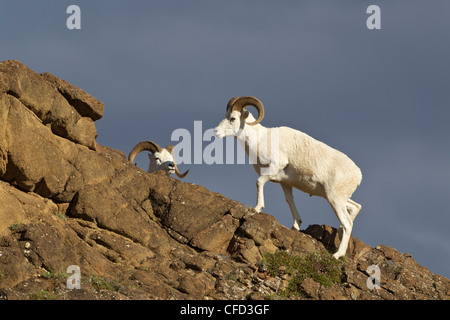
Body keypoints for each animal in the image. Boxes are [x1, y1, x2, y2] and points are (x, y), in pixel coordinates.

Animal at [214, 95, 362, 258]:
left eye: (233, 118)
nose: (216, 131)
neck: (260, 139)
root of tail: (358, 174)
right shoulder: (285, 183)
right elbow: (289, 200)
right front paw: (296, 225)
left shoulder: (274, 167)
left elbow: (259, 182)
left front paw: (258, 208)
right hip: (335, 197)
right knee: (355, 208)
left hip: (334, 199)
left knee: (348, 223)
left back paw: (337, 255)